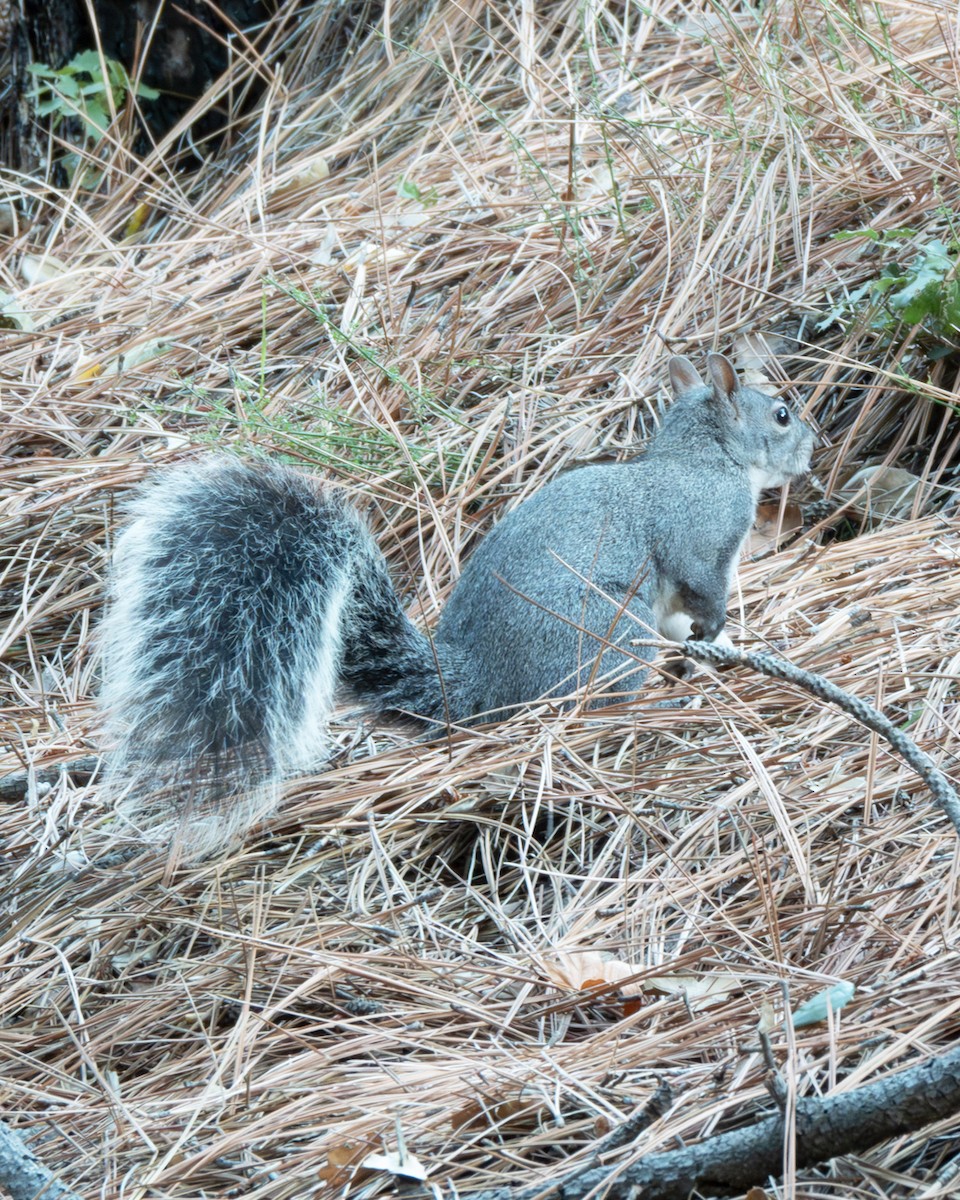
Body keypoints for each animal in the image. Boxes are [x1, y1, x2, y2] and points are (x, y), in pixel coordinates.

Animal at [99, 352, 814, 855]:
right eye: (780, 414)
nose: (813, 445)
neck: (705, 459)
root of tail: (480, 680)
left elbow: (680, 619)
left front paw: (710, 649)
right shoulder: (700, 538)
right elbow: (703, 589)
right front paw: (718, 635)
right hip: (606, 634)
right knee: (595, 706)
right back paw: (654, 708)